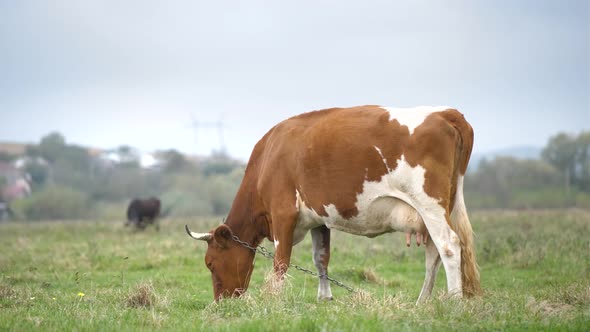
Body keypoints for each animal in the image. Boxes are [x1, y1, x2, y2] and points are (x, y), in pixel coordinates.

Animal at [187, 105, 484, 304]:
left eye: (210, 263)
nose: (222, 302)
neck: (268, 157)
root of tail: (445, 112)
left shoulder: (283, 213)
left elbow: (281, 261)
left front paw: (275, 298)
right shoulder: (319, 218)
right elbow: (321, 258)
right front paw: (325, 297)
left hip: (430, 204)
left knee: (449, 246)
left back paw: (455, 301)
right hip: (440, 209)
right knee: (433, 254)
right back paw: (422, 301)